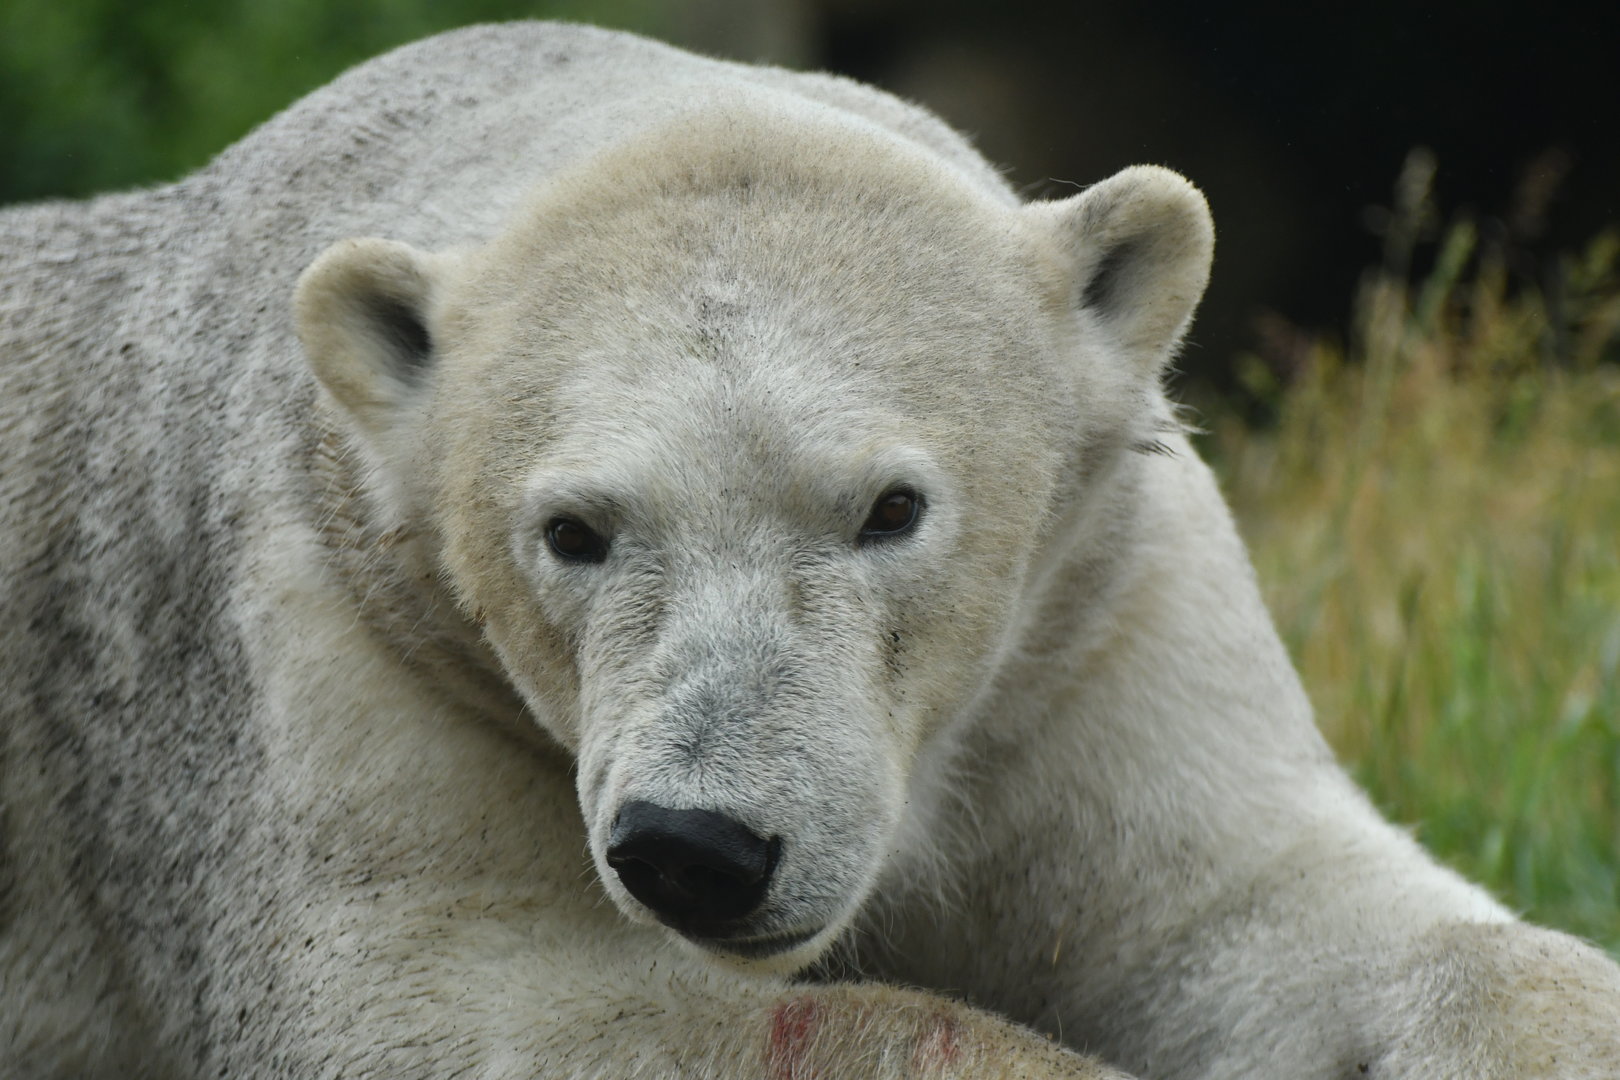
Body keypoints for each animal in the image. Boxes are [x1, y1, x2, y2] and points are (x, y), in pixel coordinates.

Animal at [2, 19, 1617, 1080]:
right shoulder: (327, 642)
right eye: (573, 531)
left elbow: (1248, 906)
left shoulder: (1091, 618)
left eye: (891, 507)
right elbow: (451, 1001)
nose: (697, 849)